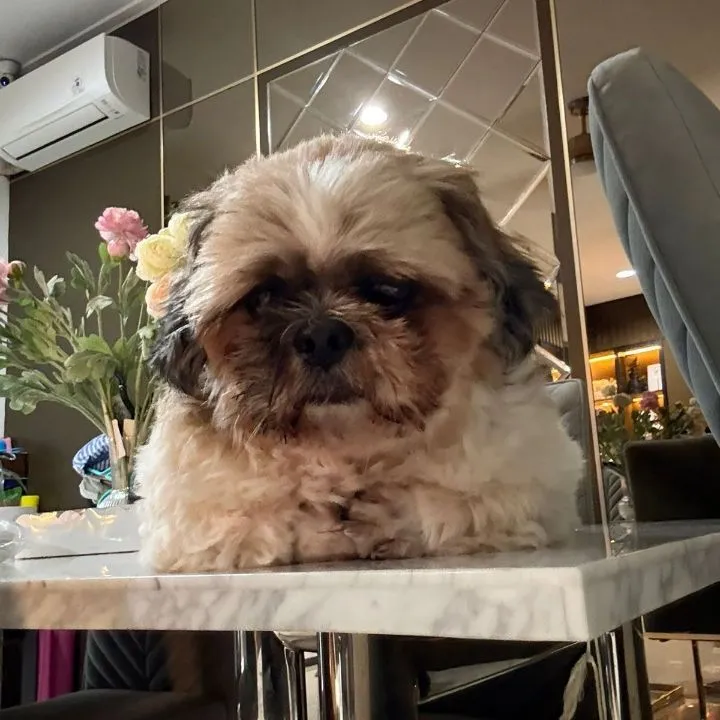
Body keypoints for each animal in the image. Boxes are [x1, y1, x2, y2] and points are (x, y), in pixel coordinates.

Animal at [136, 134, 583, 572]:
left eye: (388, 290)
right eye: (263, 297)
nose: (322, 336)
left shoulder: (523, 492)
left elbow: (448, 505)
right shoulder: (197, 523)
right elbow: (266, 517)